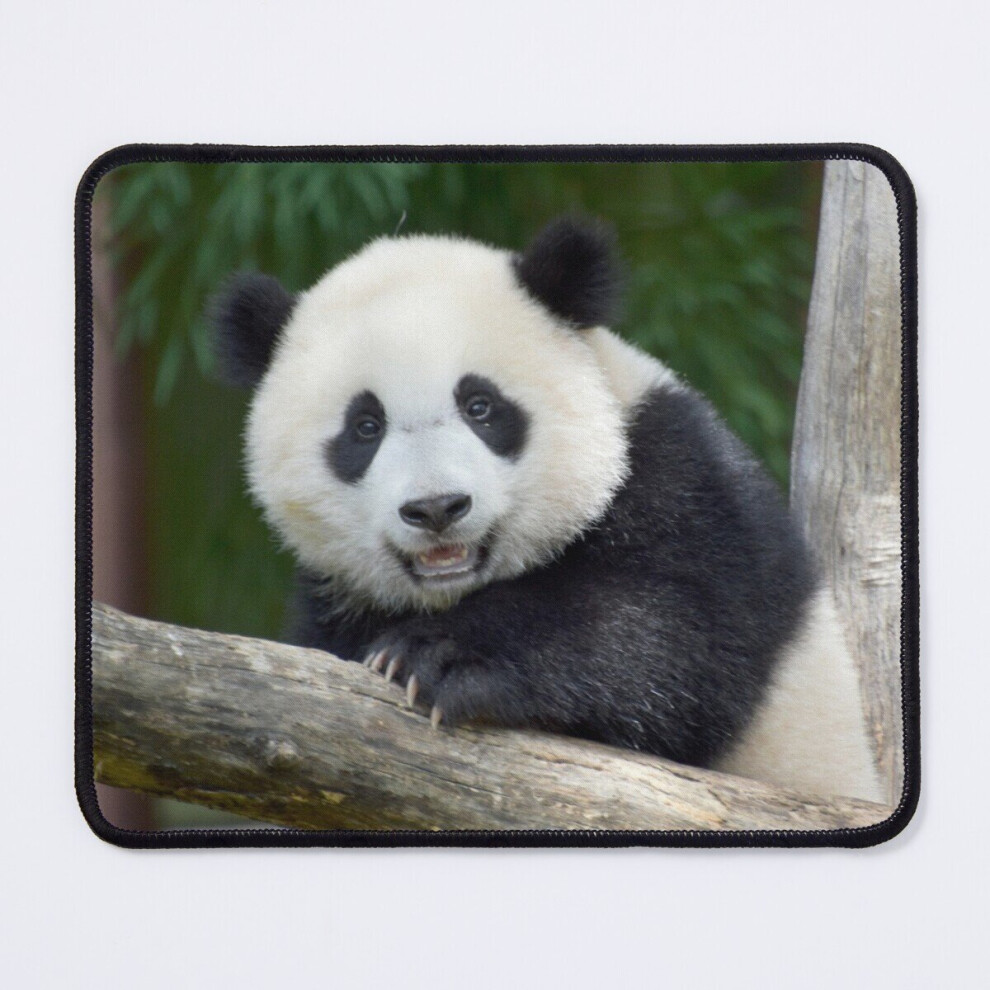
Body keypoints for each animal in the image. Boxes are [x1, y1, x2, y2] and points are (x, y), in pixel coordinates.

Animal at [211, 216, 882, 804]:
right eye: (365, 427)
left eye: (481, 406)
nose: (437, 508)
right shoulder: (333, 603)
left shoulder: (689, 487)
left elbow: (667, 632)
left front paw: (438, 657)